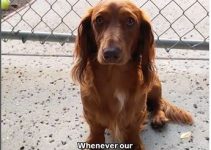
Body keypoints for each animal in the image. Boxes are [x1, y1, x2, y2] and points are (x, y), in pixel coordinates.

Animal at [71, 0, 193, 149]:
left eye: (130, 21)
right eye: (99, 20)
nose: (110, 53)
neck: (114, 76)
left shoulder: (137, 115)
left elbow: (133, 132)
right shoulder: (92, 116)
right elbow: (96, 132)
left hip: (154, 83)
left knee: (158, 102)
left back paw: (158, 117)